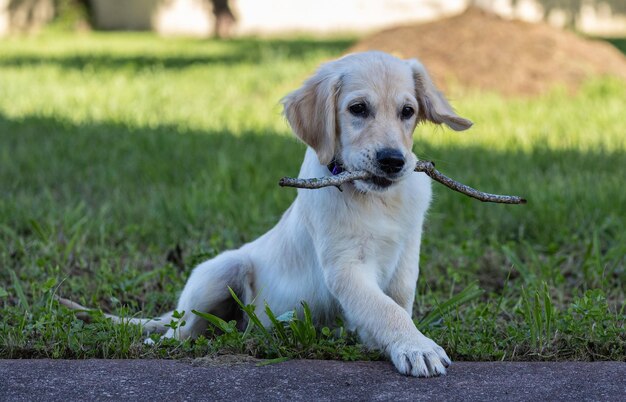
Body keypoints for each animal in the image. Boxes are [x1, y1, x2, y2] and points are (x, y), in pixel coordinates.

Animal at [62, 51, 468, 376]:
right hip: (221, 271)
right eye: (358, 109)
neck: (375, 199)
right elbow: (385, 309)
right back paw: (168, 341)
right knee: (182, 329)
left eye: (407, 112)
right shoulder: (344, 267)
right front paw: (416, 347)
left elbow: (396, 301)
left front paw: (390, 342)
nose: (393, 161)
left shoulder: (406, 254)